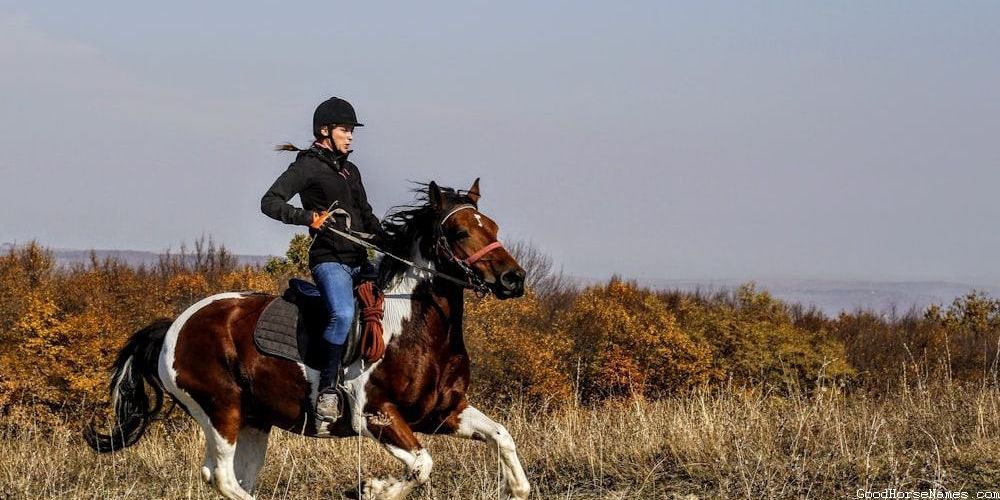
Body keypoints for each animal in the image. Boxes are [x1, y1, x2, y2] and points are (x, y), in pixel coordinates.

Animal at [84, 179, 531, 500]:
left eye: (492, 226)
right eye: (458, 232)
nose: (514, 279)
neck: (415, 330)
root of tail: (174, 327)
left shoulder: (444, 412)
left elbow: (501, 436)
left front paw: (516, 488)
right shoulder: (376, 416)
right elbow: (421, 465)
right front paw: (372, 488)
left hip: (254, 421)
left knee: (237, 479)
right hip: (220, 410)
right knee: (221, 477)